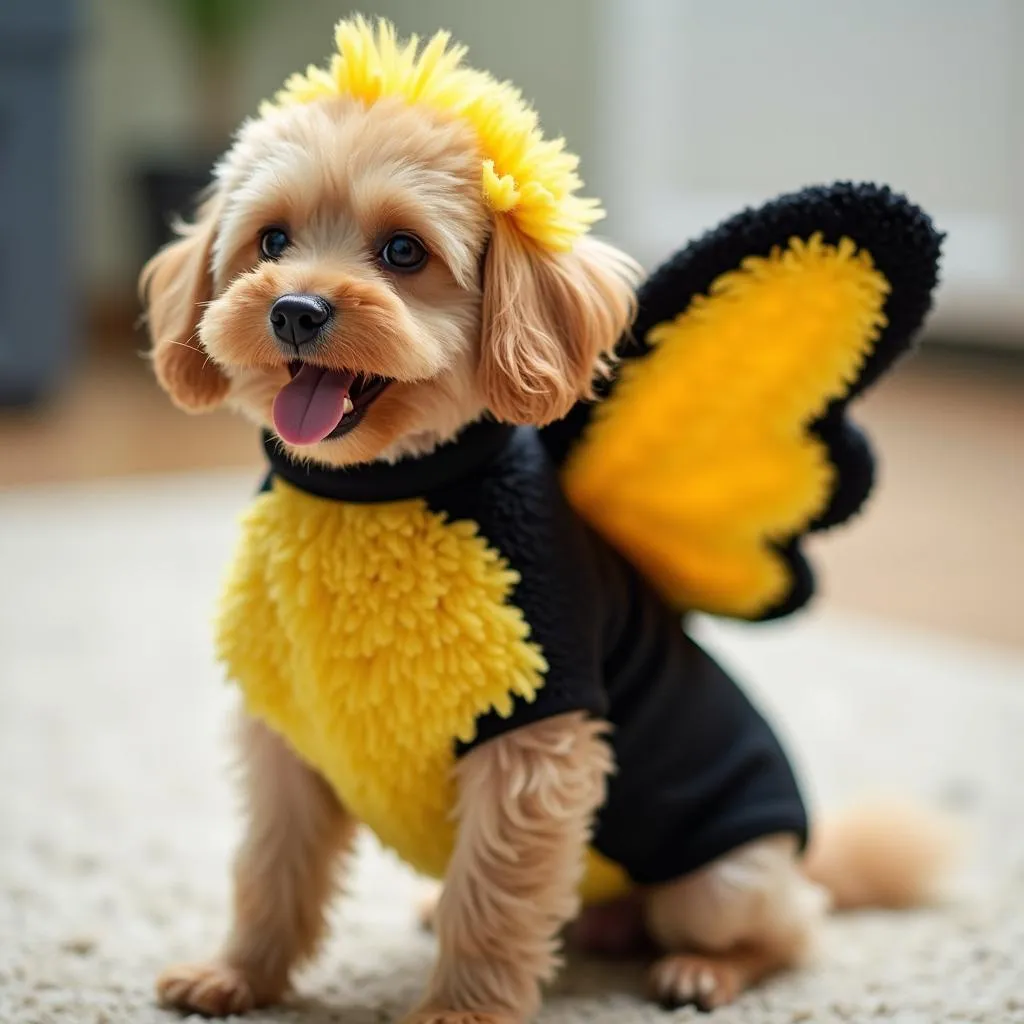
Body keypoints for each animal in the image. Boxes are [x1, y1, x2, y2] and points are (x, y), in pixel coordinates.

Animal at [140, 18, 954, 1024]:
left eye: (403, 253)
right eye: (272, 239)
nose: (295, 309)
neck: (371, 495)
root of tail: (802, 844)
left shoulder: (532, 736)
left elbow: (492, 900)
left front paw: (461, 1008)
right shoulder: (289, 743)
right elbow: (270, 874)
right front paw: (239, 975)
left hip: (720, 881)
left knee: (795, 928)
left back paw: (706, 970)